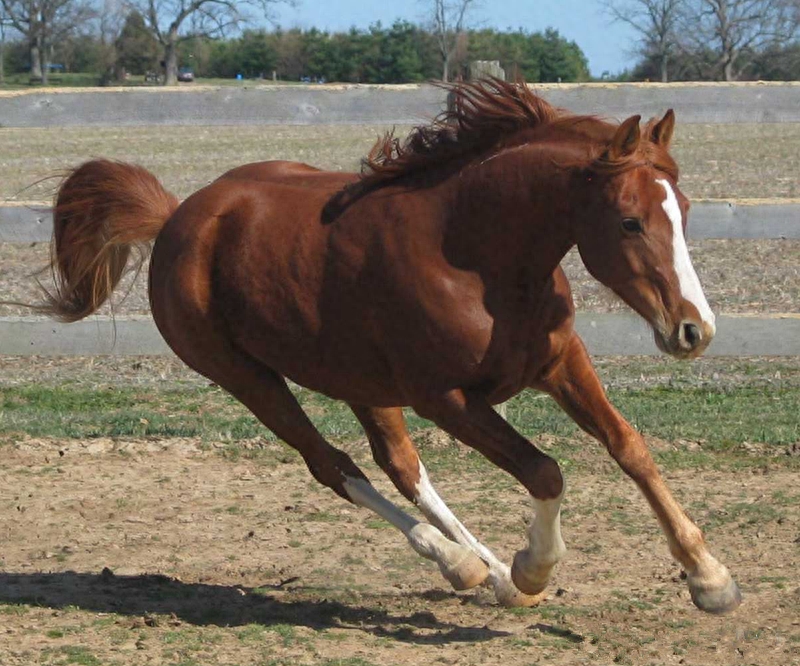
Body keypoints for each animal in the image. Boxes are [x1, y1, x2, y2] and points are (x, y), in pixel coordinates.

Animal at [36, 79, 736, 612]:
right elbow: (544, 469)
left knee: (401, 465)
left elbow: (629, 447)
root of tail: (179, 217)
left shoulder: (559, 362)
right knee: (334, 465)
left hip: (360, 381)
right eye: (629, 221)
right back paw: (461, 562)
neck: (474, 257)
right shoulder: (446, 398)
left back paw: (486, 571)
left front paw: (709, 578)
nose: (693, 330)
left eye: (685, 210)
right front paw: (534, 566)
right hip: (248, 379)